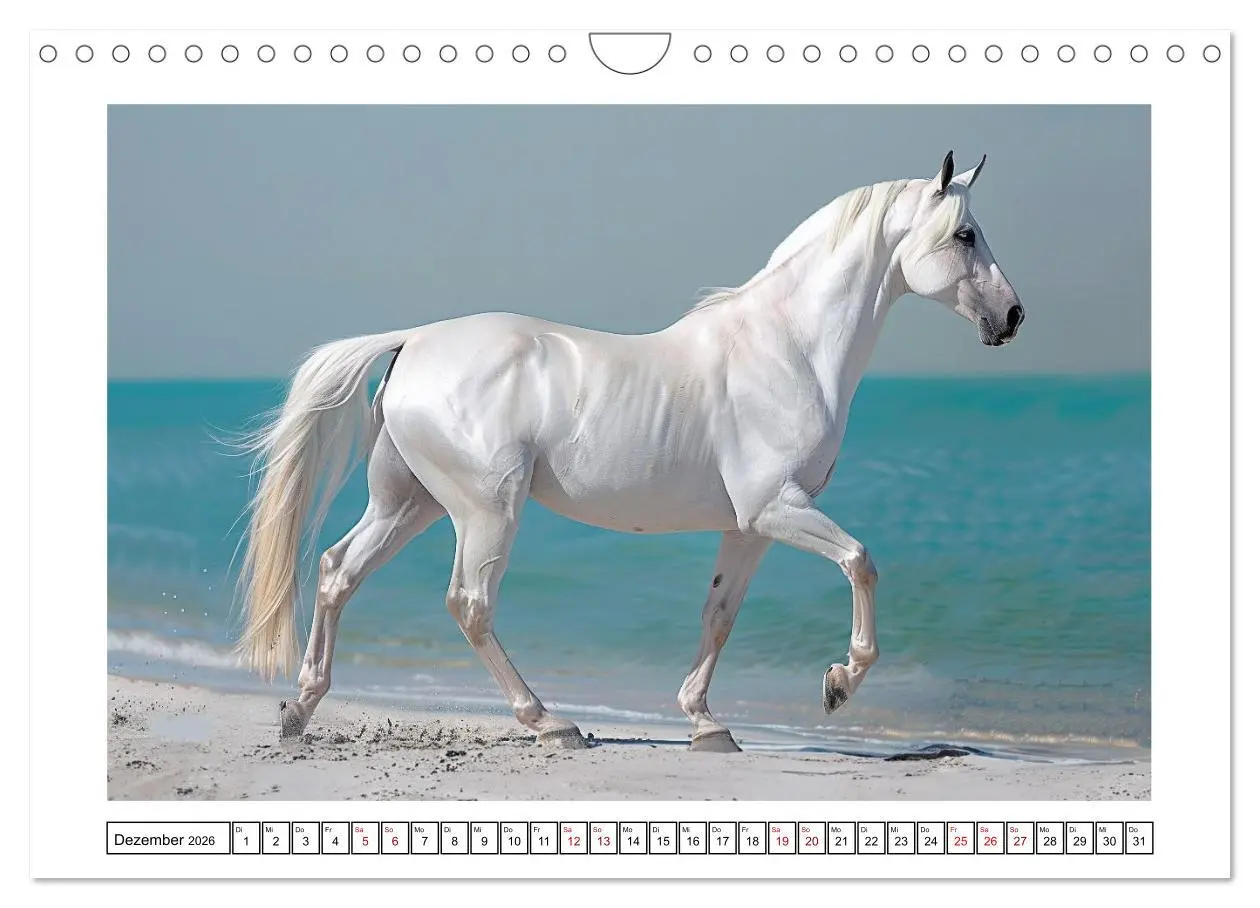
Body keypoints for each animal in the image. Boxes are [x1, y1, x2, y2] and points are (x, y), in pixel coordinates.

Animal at [236, 151, 1025, 752]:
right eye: (964, 234)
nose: (1012, 317)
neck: (788, 347)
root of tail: (414, 342)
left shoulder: (749, 527)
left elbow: (720, 614)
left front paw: (706, 724)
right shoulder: (776, 508)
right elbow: (860, 562)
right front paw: (838, 684)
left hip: (411, 503)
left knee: (337, 572)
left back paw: (300, 709)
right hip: (485, 510)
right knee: (470, 603)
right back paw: (551, 722)